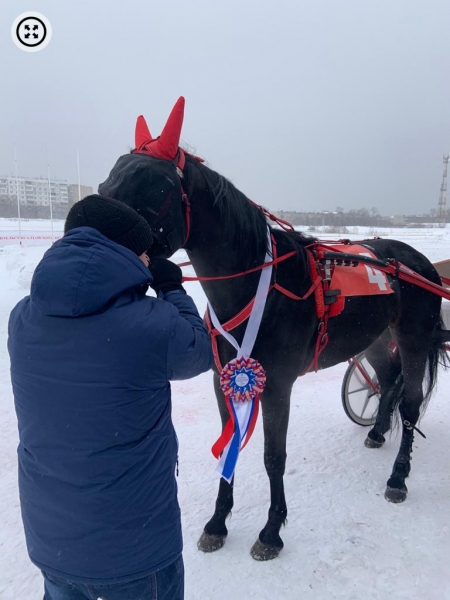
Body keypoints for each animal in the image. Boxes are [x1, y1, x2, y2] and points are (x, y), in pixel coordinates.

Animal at [100, 98, 448, 564]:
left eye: (155, 189)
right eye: (106, 184)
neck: (257, 288)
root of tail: (417, 262)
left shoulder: (277, 383)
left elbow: (273, 456)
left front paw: (270, 531)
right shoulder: (225, 379)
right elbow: (230, 447)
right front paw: (217, 523)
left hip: (413, 338)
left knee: (410, 403)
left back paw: (398, 478)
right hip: (374, 338)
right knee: (387, 380)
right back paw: (376, 432)